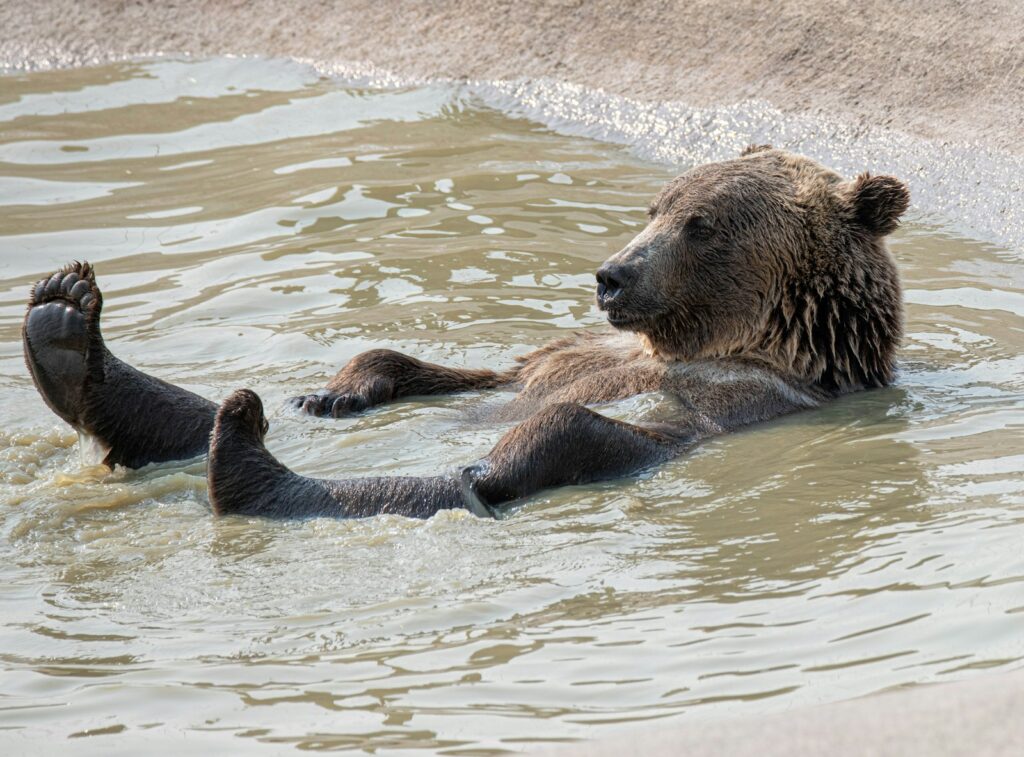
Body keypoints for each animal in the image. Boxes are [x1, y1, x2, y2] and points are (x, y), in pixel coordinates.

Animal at [22, 146, 909, 519]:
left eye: (702, 223)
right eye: (656, 205)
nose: (612, 275)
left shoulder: (739, 398)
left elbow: (596, 419)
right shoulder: (561, 352)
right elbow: (446, 366)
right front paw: (337, 391)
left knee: (516, 456)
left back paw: (246, 462)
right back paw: (64, 324)